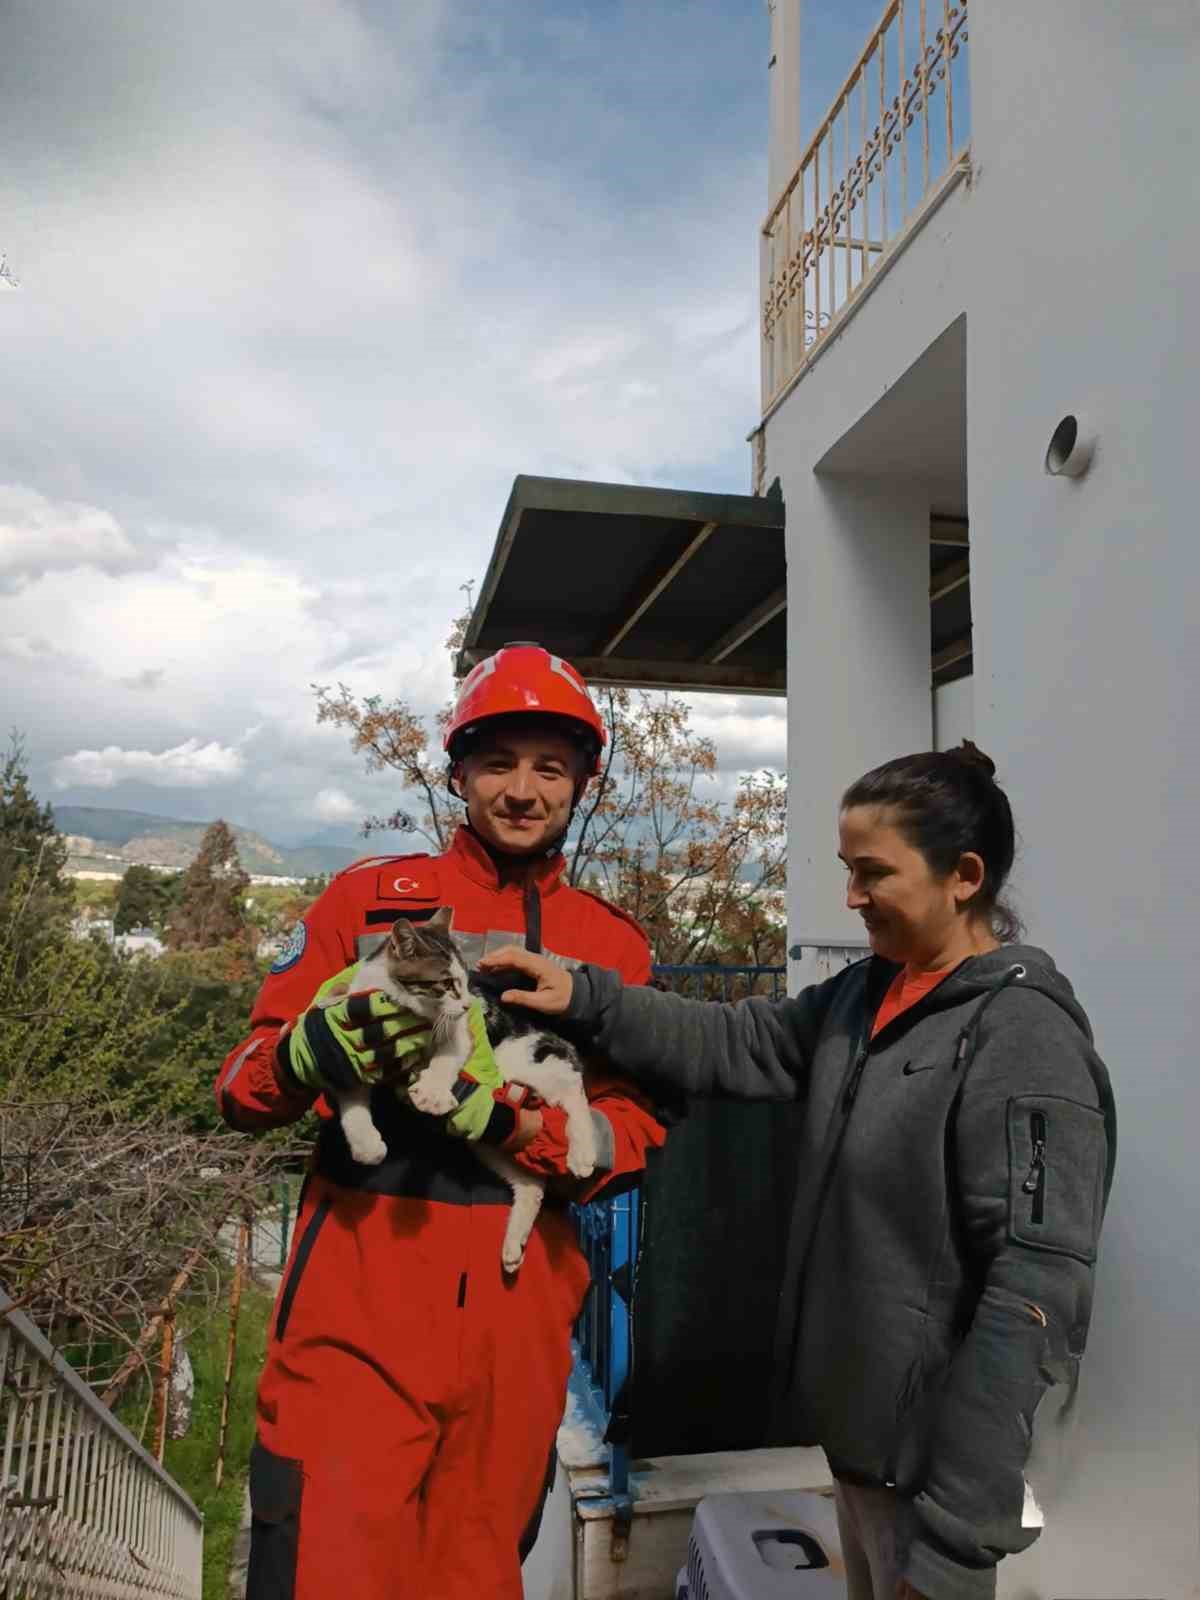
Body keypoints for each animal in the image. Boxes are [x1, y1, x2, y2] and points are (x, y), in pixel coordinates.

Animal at [321, 907, 596, 1273]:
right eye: (447, 983)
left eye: (465, 982)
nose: (467, 1004)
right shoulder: (358, 1045)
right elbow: (351, 1099)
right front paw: (366, 1144)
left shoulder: (459, 1033)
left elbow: (445, 1058)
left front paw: (433, 1093)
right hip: (492, 1138)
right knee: (531, 1183)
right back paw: (514, 1244)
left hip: (532, 1059)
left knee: (574, 1094)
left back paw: (582, 1154)